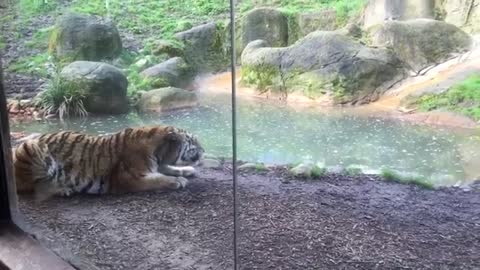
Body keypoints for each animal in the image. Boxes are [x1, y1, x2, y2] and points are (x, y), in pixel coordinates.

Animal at [13, 125, 204, 200]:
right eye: (193, 142)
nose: (204, 151)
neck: (158, 152)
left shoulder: (159, 164)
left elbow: (168, 169)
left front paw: (186, 171)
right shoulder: (129, 178)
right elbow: (158, 178)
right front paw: (178, 181)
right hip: (32, 148)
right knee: (32, 185)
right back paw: (63, 189)